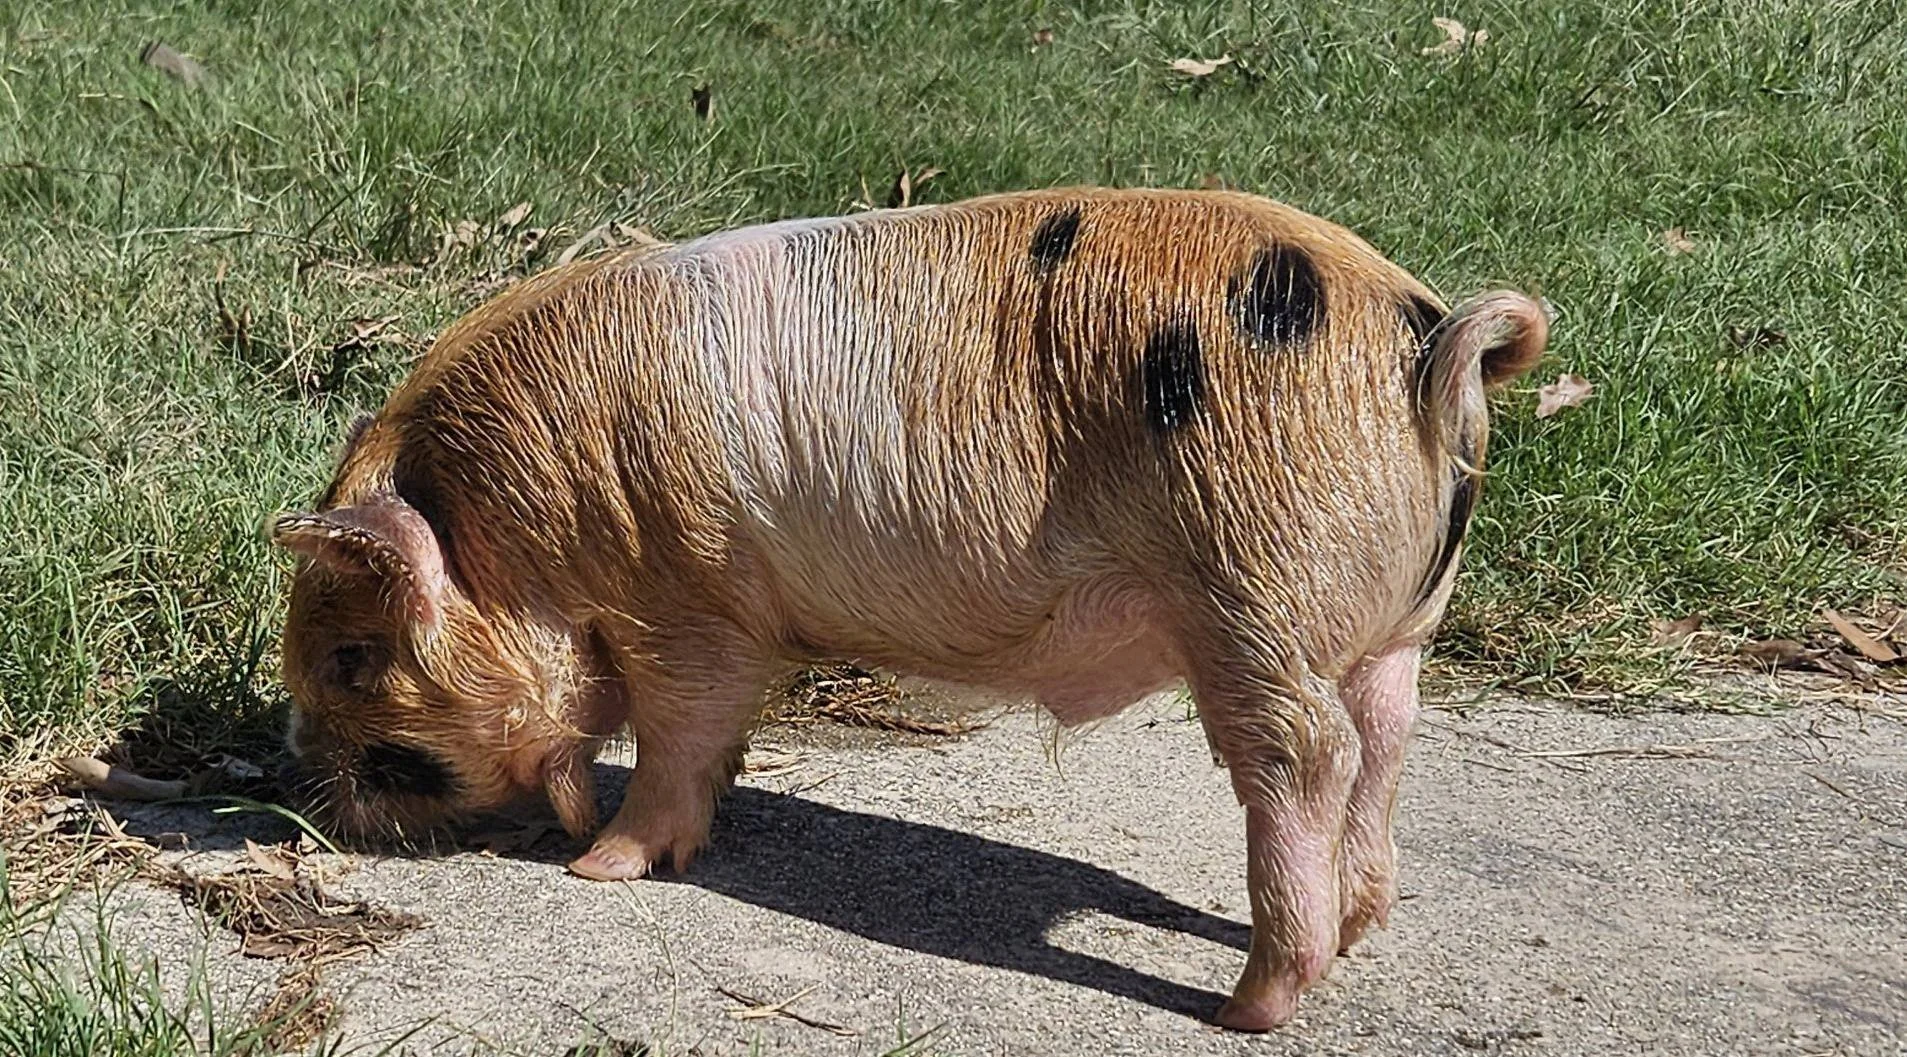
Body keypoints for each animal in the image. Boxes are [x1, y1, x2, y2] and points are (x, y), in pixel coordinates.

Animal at [271, 187, 1546, 1030]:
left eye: (349, 658)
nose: (318, 801)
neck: (522, 531)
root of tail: (1425, 344)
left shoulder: (684, 595)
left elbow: (681, 730)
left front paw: (602, 869)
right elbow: (711, 745)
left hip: (1250, 578)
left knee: (1302, 751)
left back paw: (1249, 1003)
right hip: (1385, 622)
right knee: (1385, 730)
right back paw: (1360, 925)